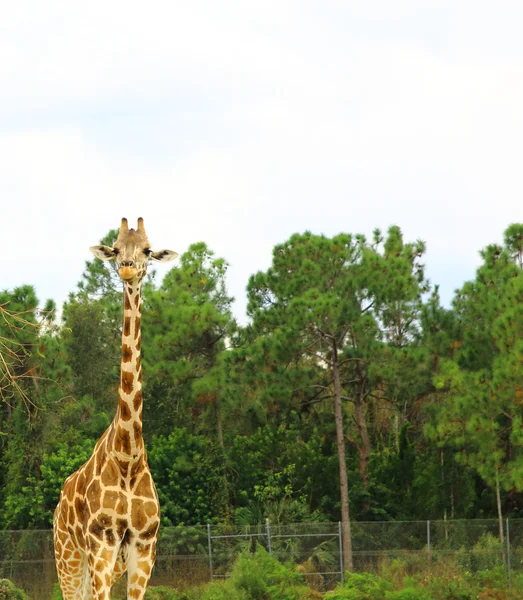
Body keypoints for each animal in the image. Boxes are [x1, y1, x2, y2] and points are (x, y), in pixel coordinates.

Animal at [53, 219, 178, 600]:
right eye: (116, 247)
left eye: (148, 250)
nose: (126, 267)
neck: (128, 456)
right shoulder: (102, 546)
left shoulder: (144, 549)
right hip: (69, 559)